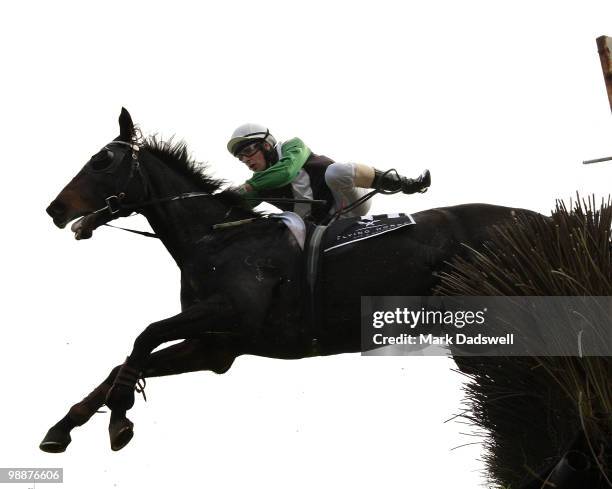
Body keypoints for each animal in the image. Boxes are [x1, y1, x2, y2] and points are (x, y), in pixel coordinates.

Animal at [43, 108, 540, 452]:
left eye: (102, 161)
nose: (55, 209)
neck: (215, 236)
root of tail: (541, 218)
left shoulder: (233, 313)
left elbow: (144, 337)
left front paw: (118, 419)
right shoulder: (216, 346)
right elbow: (126, 363)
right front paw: (65, 426)